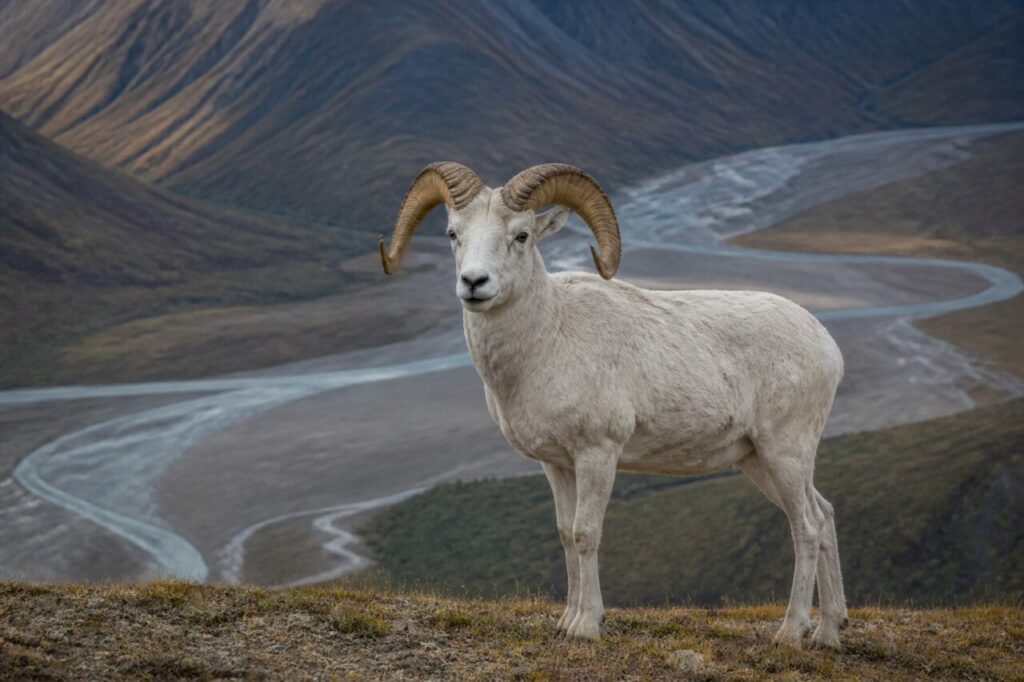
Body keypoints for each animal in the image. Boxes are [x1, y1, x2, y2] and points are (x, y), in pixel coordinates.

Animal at [379, 162, 848, 648]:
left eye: (521, 235)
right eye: (453, 233)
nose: (474, 283)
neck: (548, 340)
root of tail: (828, 346)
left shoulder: (598, 454)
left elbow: (587, 533)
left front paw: (587, 626)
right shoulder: (557, 464)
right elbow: (566, 534)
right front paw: (566, 621)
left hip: (785, 452)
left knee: (807, 527)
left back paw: (791, 632)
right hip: (758, 460)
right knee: (825, 515)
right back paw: (829, 632)